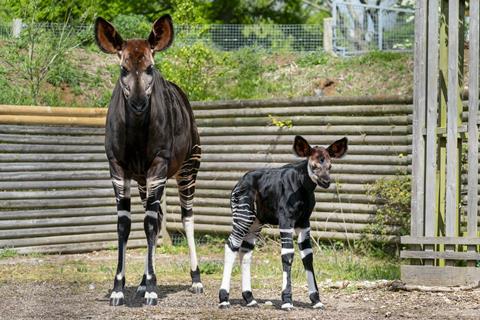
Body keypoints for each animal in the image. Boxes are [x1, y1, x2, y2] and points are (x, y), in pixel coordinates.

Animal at [94, 14, 203, 304]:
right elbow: (125, 223)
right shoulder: (117, 168)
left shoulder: (158, 165)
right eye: (123, 69)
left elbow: (150, 223)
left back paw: (196, 279)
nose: (139, 103)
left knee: (187, 217)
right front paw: (119, 289)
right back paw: (142, 283)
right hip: (145, 179)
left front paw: (153, 288)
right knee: (158, 215)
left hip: (189, 166)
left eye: (150, 68)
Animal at [219, 136, 346, 310]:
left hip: (256, 222)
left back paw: (250, 298)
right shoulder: (286, 219)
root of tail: (239, 181)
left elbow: (308, 256)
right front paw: (287, 301)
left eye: (330, 166)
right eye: (314, 166)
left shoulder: (304, 222)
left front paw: (316, 300)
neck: (302, 186)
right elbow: (287, 254)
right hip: (243, 216)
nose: (326, 181)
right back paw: (224, 299)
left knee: (246, 251)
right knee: (231, 245)